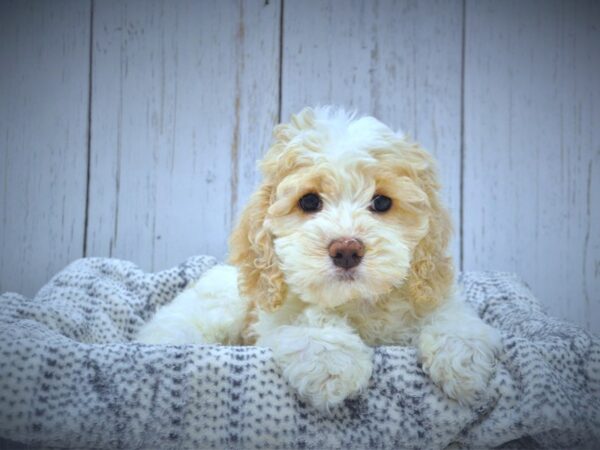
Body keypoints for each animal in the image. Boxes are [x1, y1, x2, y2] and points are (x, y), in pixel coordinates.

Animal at [137, 106, 502, 412]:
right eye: (309, 201)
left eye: (382, 202)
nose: (346, 250)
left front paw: (463, 359)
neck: (358, 303)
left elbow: (451, 315)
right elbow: (308, 319)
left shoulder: (431, 292)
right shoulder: (273, 318)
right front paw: (332, 363)